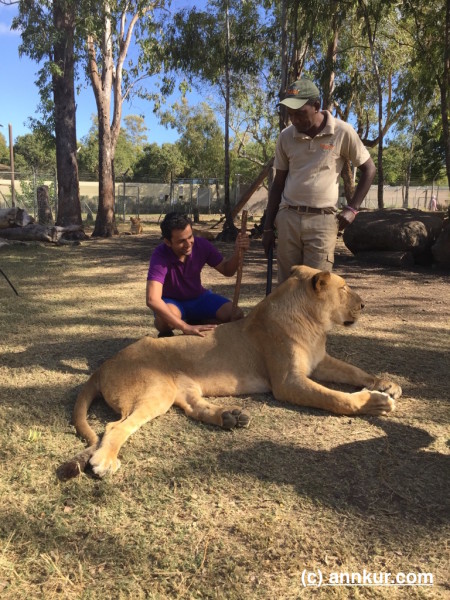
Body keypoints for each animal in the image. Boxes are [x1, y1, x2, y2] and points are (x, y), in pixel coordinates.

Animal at [56, 264, 400, 480]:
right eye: (344, 288)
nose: (364, 305)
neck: (314, 325)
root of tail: (103, 366)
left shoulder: (320, 361)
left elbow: (354, 371)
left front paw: (387, 384)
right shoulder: (287, 383)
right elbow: (335, 398)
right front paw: (374, 402)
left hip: (182, 388)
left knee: (193, 408)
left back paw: (230, 417)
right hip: (156, 391)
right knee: (116, 427)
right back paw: (104, 461)